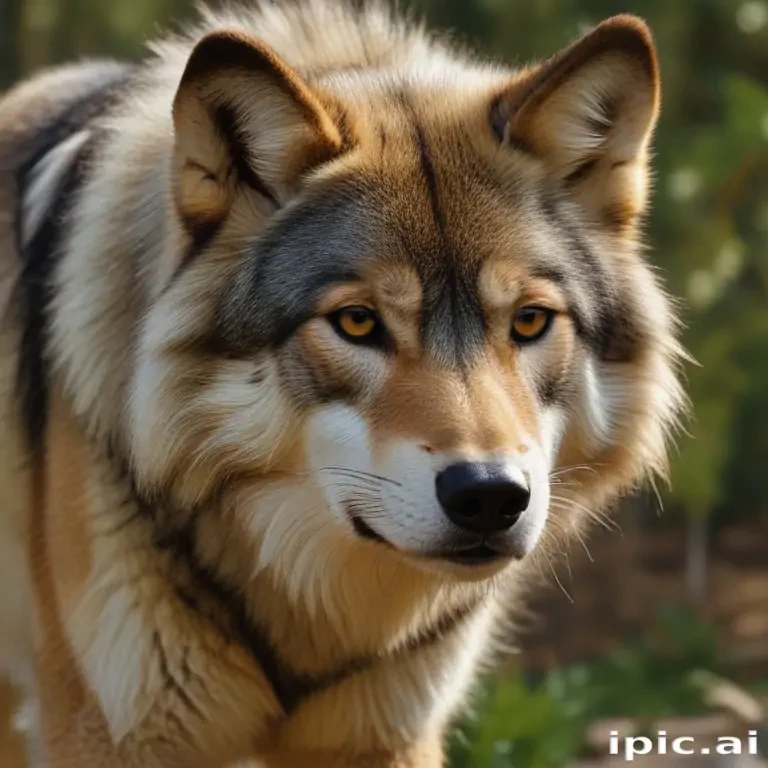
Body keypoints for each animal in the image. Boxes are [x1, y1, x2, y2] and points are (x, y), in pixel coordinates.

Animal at [0, 1, 685, 765]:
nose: (489, 496)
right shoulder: (105, 734)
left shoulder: (391, 735)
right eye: (358, 322)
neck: (311, 608)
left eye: (530, 321)